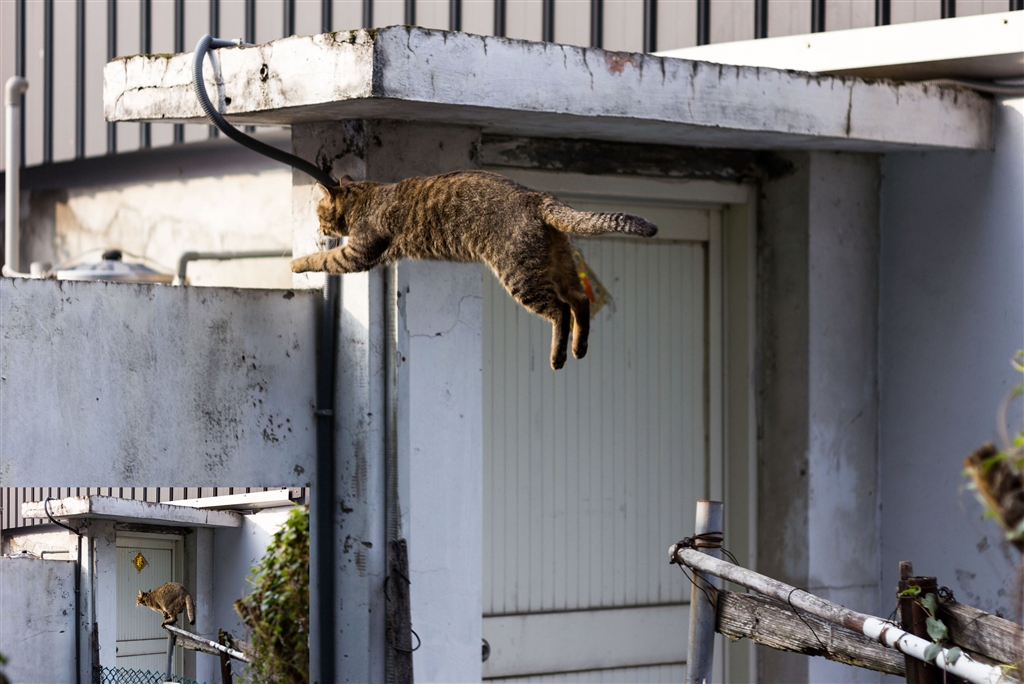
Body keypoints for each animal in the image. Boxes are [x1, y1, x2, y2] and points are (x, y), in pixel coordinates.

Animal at [291, 170, 658, 370]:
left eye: (320, 213)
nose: (320, 227)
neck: (369, 196)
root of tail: (539, 197)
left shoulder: (358, 253)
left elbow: (324, 258)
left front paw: (297, 263)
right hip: (560, 264)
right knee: (580, 301)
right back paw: (579, 349)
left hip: (520, 276)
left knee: (560, 311)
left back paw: (558, 357)